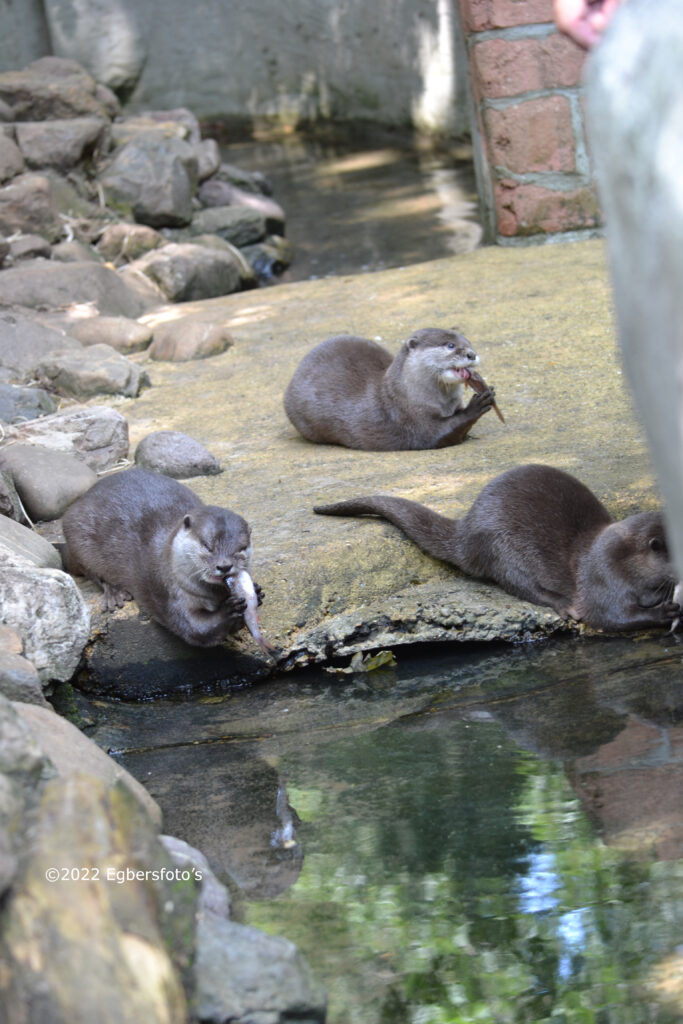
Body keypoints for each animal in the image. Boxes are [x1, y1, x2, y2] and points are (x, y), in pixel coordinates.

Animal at [61, 467, 264, 648]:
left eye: (241, 548)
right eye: (207, 546)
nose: (224, 566)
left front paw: (257, 592)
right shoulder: (169, 591)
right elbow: (195, 628)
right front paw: (228, 610)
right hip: (79, 538)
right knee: (91, 572)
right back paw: (114, 592)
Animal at [283, 327, 498, 451]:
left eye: (469, 343)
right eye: (450, 345)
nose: (472, 354)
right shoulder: (410, 418)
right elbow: (438, 432)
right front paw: (477, 404)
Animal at [314, 464, 680, 632]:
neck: (623, 559)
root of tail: (467, 527)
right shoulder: (603, 577)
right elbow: (612, 616)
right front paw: (665, 612)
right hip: (502, 549)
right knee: (520, 585)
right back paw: (562, 605)